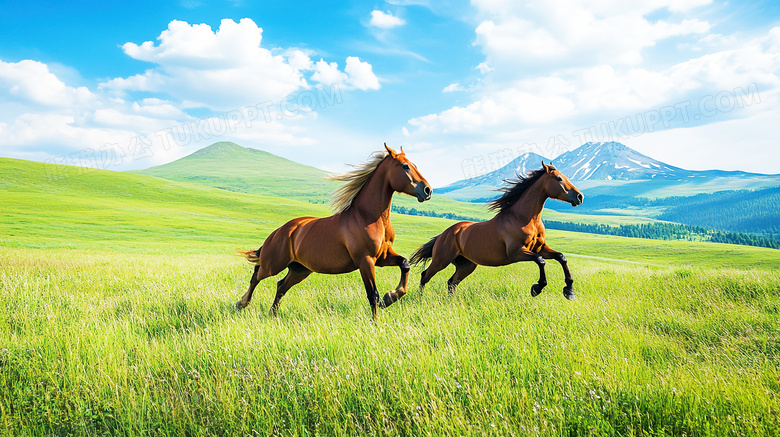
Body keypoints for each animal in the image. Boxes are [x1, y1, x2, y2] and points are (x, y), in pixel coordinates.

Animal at [238, 145, 432, 318]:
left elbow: (404, 264)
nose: (428, 190)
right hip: (273, 264)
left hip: (300, 270)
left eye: (414, 164)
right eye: (405, 166)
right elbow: (373, 294)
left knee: (280, 286)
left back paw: (272, 314)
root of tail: (279, 231)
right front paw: (376, 321)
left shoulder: (382, 257)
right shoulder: (365, 260)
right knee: (256, 275)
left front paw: (390, 297)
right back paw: (241, 303)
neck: (368, 217)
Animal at [412, 162, 580, 298]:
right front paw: (537, 288)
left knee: (451, 282)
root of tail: (444, 234)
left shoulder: (540, 248)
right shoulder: (516, 252)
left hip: (466, 265)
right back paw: (419, 300)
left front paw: (569, 291)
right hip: (441, 260)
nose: (579, 197)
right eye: (558, 178)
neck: (523, 218)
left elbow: (561, 257)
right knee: (425, 276)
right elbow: (540, 261)